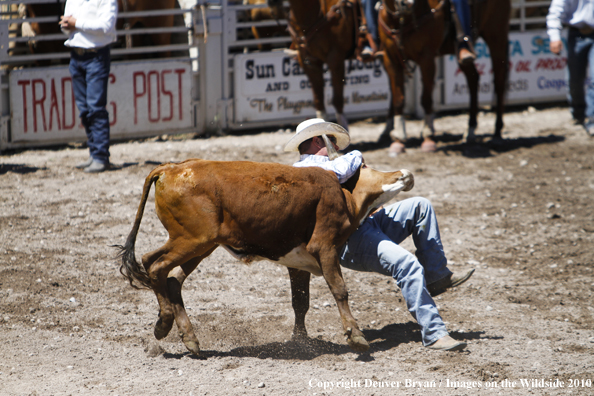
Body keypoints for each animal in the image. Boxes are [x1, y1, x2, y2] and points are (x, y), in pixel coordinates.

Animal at [376, 0, 512, 152]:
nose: (407, 4)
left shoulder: (427, 58)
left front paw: (428, 136)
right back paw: (470, 130)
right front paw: (398, 139)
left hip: (497, 36)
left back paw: (497, 133)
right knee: (473, 79)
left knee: (499, 82)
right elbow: (399, 99)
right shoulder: (390, 59)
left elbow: (426, 98)